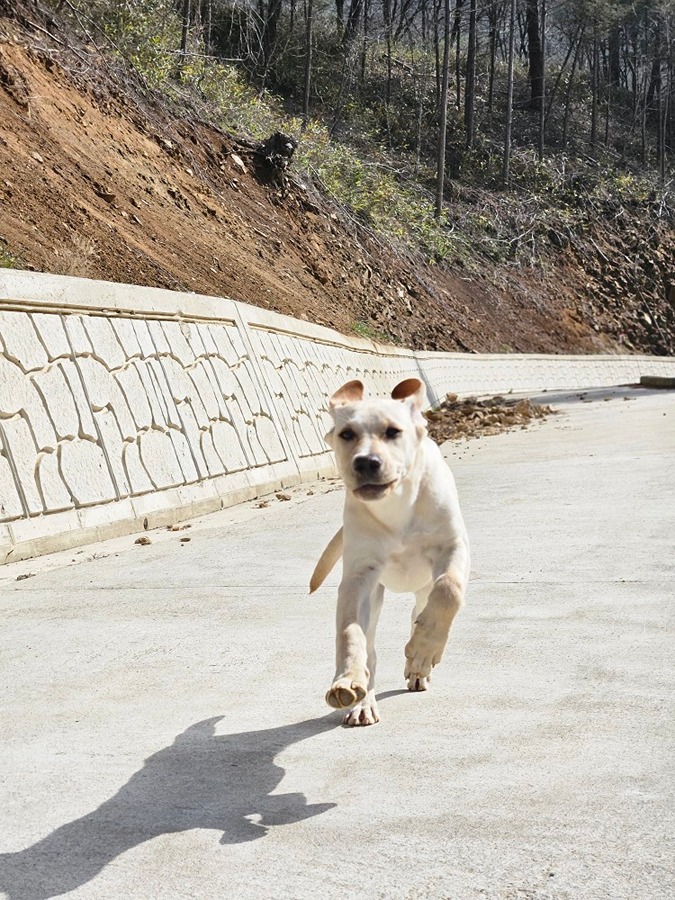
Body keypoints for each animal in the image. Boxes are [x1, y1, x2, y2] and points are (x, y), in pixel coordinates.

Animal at [310, 378, 470, 724]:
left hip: (422, 589)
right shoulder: (359, 576)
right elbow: (349, 631)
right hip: (376, 597)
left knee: (420, 611)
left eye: (393, 432)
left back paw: (418, 668)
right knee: (370, 649)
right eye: (347, 435)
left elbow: (449, 590)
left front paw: (422, 651)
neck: (396, 502)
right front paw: (347, 680)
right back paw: (362, 702)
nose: (366, 462)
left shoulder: (453, 548)